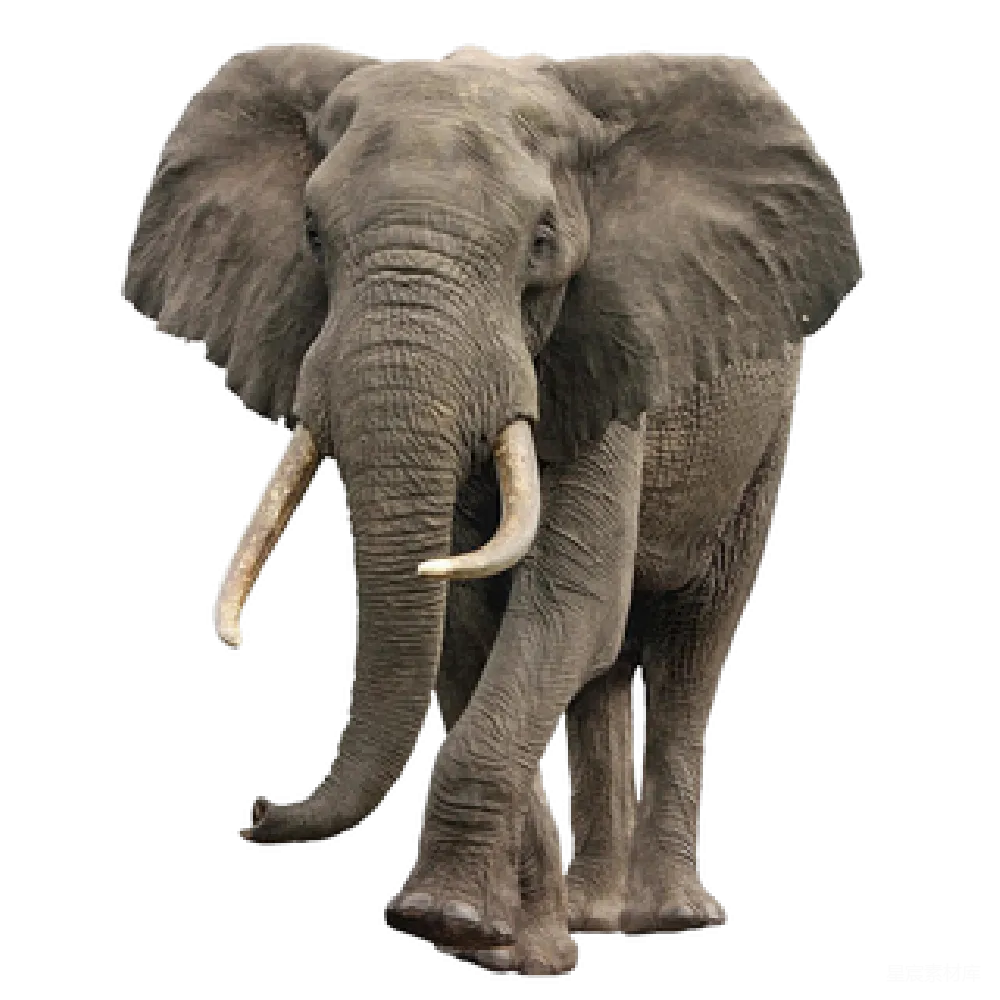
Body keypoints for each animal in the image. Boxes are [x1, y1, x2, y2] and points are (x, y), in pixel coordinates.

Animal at [122, 43, 860, 974]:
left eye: (541, 242)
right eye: (313, 235)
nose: (256, 808)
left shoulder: (603, 351)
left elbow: (567, 605)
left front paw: (448, 922)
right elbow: (465, 626)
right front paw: (509, 948)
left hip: (760, 435)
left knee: (691, 645)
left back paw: (671, 918)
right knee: (601, 676)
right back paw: (592, 916)